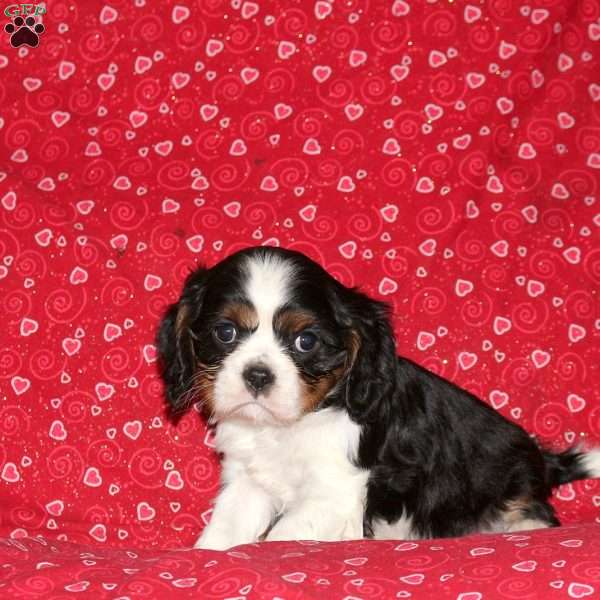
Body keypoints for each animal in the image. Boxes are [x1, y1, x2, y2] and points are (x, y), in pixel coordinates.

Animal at [158, 246, 600, 552]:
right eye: (225, 333)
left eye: (306, 341)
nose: (257, 375)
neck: (287, 427)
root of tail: (542, 462)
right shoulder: (249, 481)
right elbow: (227, 528)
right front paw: (207, 554)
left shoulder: (336, 492)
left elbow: (282, 536)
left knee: (537, 514)